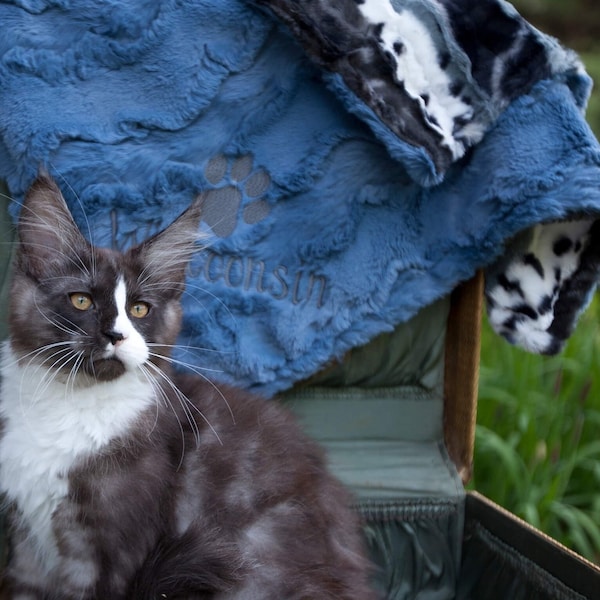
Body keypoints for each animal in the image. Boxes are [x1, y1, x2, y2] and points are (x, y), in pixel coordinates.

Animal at [0, 175, 376, 600]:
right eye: (81, 301)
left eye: (139, 310)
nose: (116, 335)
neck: (71, 401)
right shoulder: (26, 544)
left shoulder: (109, 549)